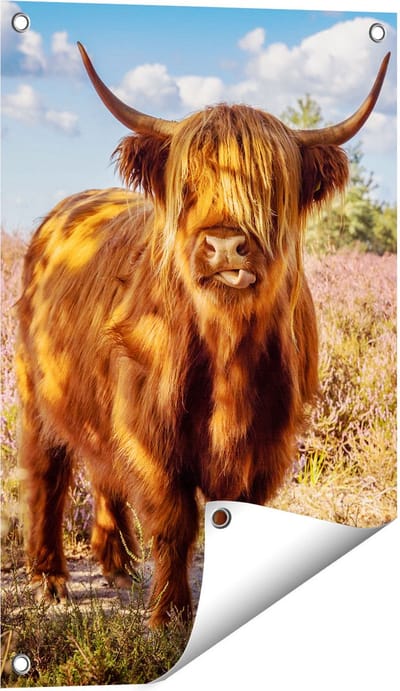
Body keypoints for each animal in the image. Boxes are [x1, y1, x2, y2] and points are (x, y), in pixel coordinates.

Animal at [16, 44, 390, 626]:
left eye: (268, 188)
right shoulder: (152, 435)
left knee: (102, 471)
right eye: (188, 187)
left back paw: (118, 566)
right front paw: (168, 614)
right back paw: (50, 579)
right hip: (37, 394)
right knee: (46, 473)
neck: (227, 353)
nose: (225, 246)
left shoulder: (268, 441)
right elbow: (173, 522)